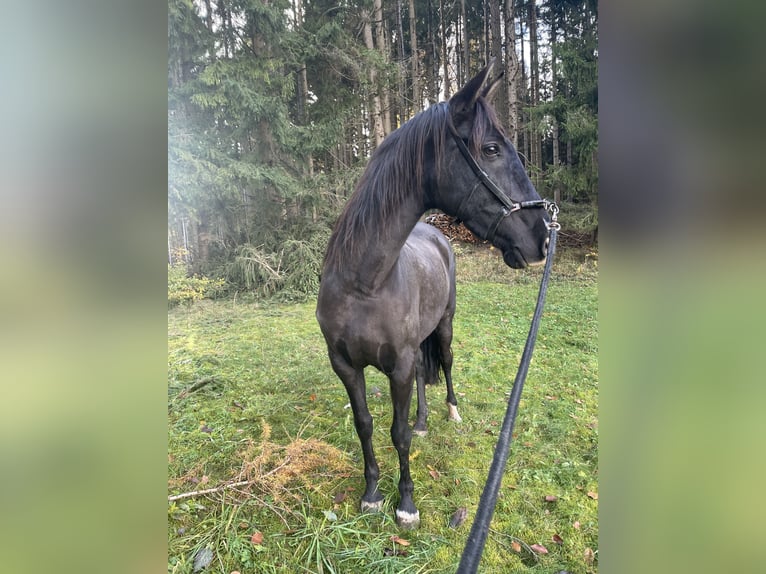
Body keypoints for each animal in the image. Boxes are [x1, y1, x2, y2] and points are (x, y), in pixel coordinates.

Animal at [318, 63, 552, 532]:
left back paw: (451, 411)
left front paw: (406, 503)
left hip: (443, 328)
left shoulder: (401, 363)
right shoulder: (346, 366)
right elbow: (365, 424)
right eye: (492, 148)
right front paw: (372, 494)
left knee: (443, 363)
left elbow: (398, 433)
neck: (364, 285)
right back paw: (426, 419)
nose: (542, 237)